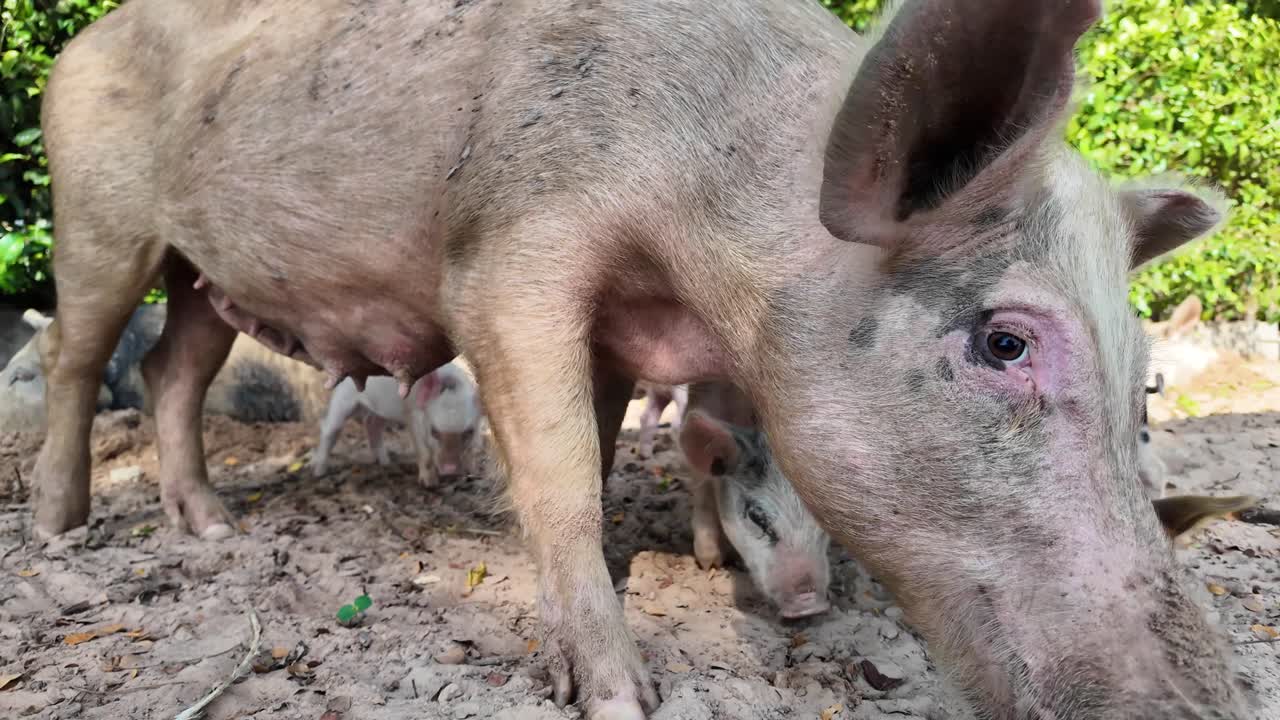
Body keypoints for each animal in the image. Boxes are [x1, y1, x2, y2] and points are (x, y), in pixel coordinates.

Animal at [311, 362, 482, 486]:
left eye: (469, 432)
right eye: (434, 431)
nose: (450, 471)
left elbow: (473, 449)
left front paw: (471, 475)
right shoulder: (413, 416)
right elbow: (424, 452)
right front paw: (429, 484)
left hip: (381, 410)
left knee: (371, 423)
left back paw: (386, 463)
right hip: (343, 398)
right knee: (329, 428)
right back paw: (319, 473)